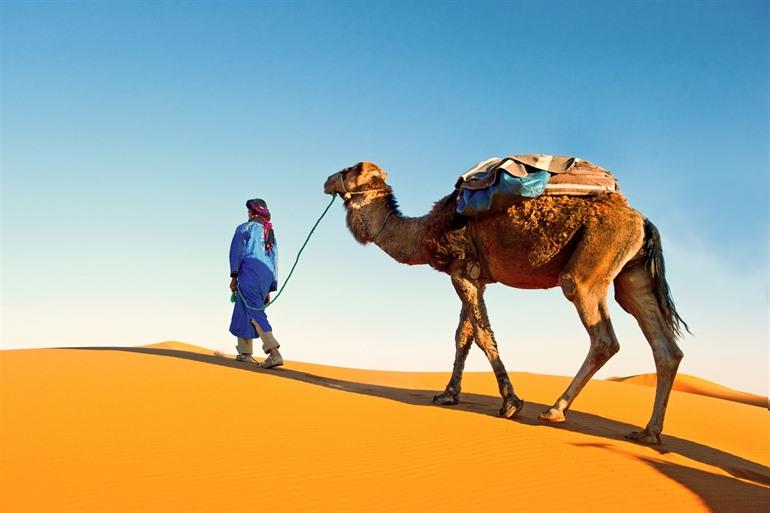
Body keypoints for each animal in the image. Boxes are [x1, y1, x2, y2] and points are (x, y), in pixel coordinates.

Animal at [323, 161, 689, 445]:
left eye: (351, 168)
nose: (326, 180)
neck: (425, 234)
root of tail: (644, 222)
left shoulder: (463, 272)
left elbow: (483, 337)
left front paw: (511, 403)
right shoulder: (475, 276)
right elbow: (464, 337)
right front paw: (448, 394)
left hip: (589, 268)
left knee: (602, 336)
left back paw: (555, 410)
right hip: (632, 274)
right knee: (665, 347)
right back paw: (648, 433)